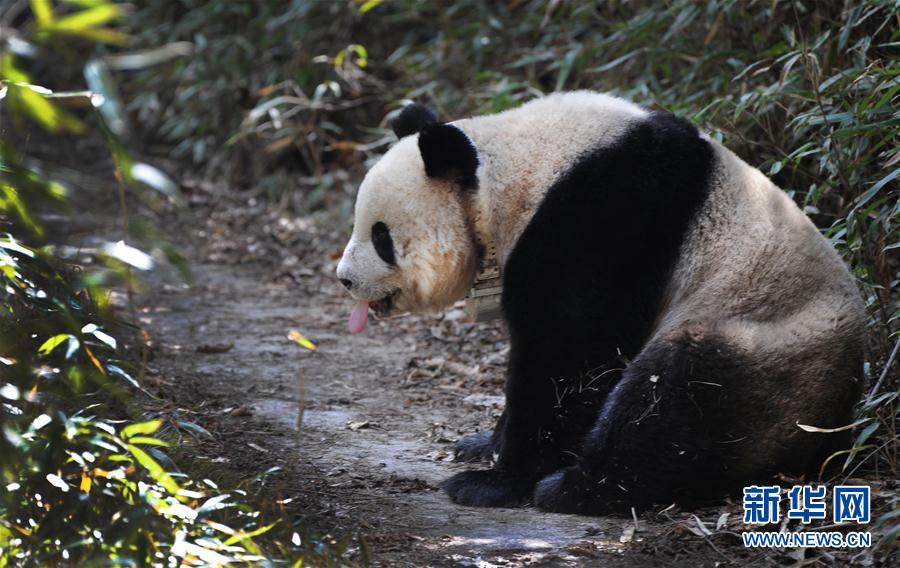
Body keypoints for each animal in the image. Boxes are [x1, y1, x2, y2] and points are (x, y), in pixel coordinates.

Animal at [336, 90, 864, 516]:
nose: (344, 279)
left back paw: (577, 489)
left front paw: (494, 482)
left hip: (770, 348)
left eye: (380, 237)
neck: (508, 171)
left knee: (679, 398)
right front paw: (483, 443)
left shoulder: (603, 216)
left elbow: (569, 351)